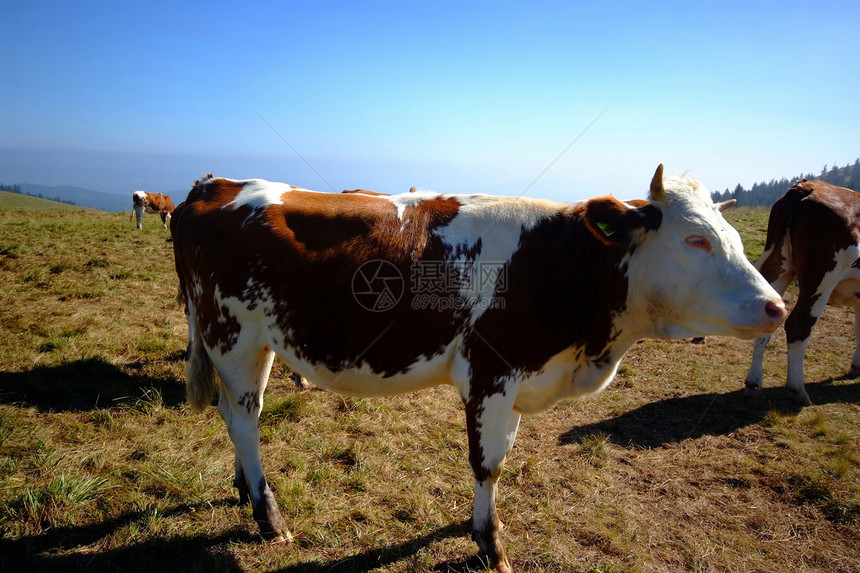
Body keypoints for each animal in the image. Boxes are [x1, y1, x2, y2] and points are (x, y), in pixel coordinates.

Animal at [168, 166, 788, 572]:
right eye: (696, 240)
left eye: (735, 237)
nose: (776, 307)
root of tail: (214, 185)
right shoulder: (492, 374)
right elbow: (488, 464)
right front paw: (490, 544)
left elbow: (501, 459)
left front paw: (488, 528)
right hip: (232, 334)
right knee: (245, 419)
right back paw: (268, 514)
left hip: (257, 343)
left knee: (234, 415)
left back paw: (243, 490)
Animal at [744, 178, 856, 402]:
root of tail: (806, 187)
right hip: (821, 278)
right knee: (799, 325)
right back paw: (798, 390)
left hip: (778, 266)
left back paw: (753, 383)